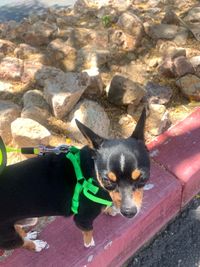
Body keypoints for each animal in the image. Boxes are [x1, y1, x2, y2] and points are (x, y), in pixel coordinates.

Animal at [0, 108, 150, 252]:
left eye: (142, 178)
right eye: (106, 180)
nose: (129, 212)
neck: (92, 173)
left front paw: (110, 209)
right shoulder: (82, 219)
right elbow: (88, 231)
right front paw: (89, 243)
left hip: (29, 219)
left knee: (20, 228)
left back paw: (29, 235)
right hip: (9, 236)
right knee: (21, 243)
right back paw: (35, 245)